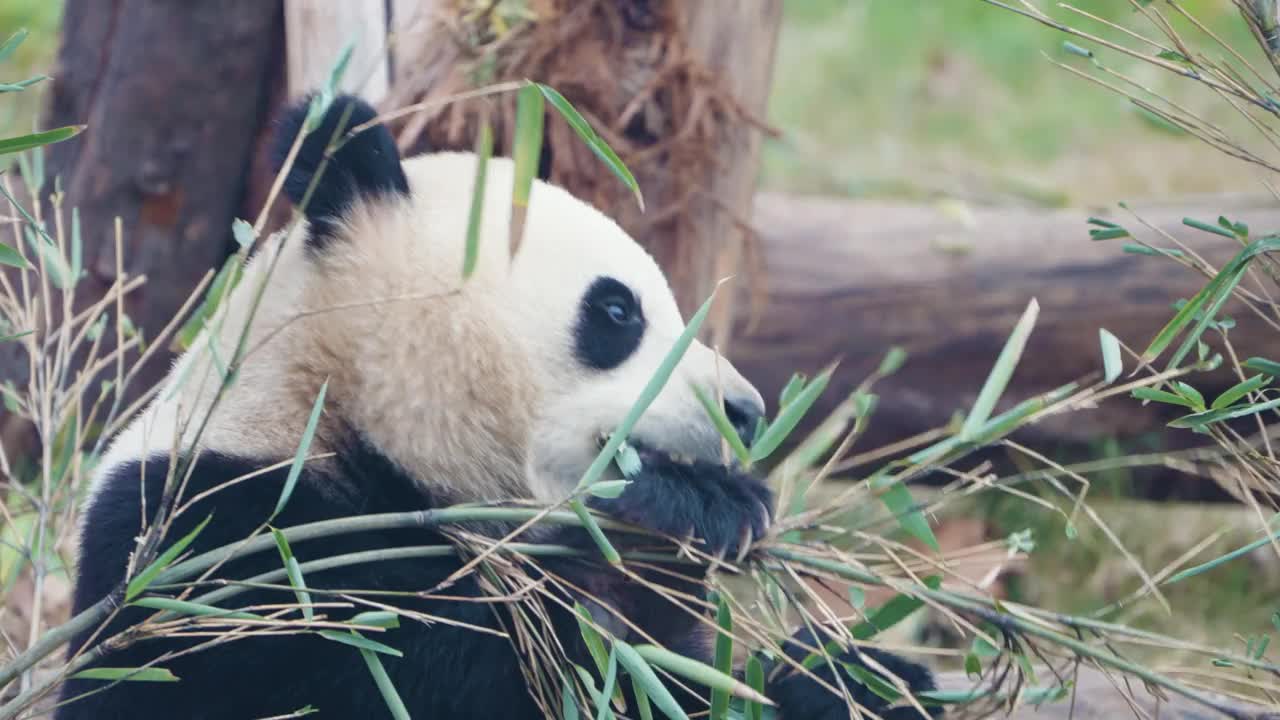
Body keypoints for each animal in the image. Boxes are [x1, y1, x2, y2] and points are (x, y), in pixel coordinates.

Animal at [52, 95, 942, 717]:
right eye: (617, 310)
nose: (748, 410)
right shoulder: (218, 545)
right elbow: (430, 672)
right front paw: (694, 507)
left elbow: (680, 681)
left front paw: (861, 677)